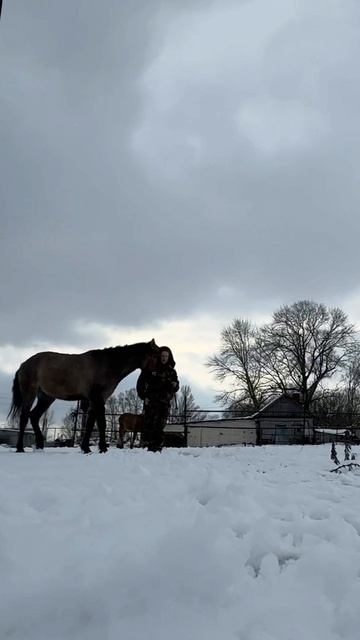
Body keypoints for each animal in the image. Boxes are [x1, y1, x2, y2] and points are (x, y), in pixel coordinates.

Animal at [6, 342, 159, 452]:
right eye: (157, 356)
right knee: (24, 418)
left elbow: (90, 424)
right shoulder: (97, 399)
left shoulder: (95, 400)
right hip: (29, 394)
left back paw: (39, 445)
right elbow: (101, 423)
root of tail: (23, 365)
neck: (107, 364)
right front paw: (103, 448)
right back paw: (20, 448)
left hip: (46, 397)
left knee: (34, 416)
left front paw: (86, 448)